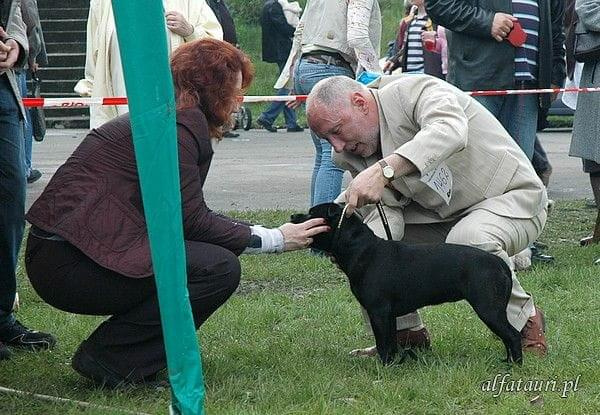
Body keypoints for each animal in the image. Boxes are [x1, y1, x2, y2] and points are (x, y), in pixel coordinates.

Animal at [292, 203, 524, 366]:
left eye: (312, 214)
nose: (293, 216)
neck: (362, 249)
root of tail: (499, 263)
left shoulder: (378, 311)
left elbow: (383, 343)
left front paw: (383, 367)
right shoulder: (389, 315)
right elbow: (391, 342)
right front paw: (393, 364)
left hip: (488, 309)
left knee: (512, 335)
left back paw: (515, 366)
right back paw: (508, 362)